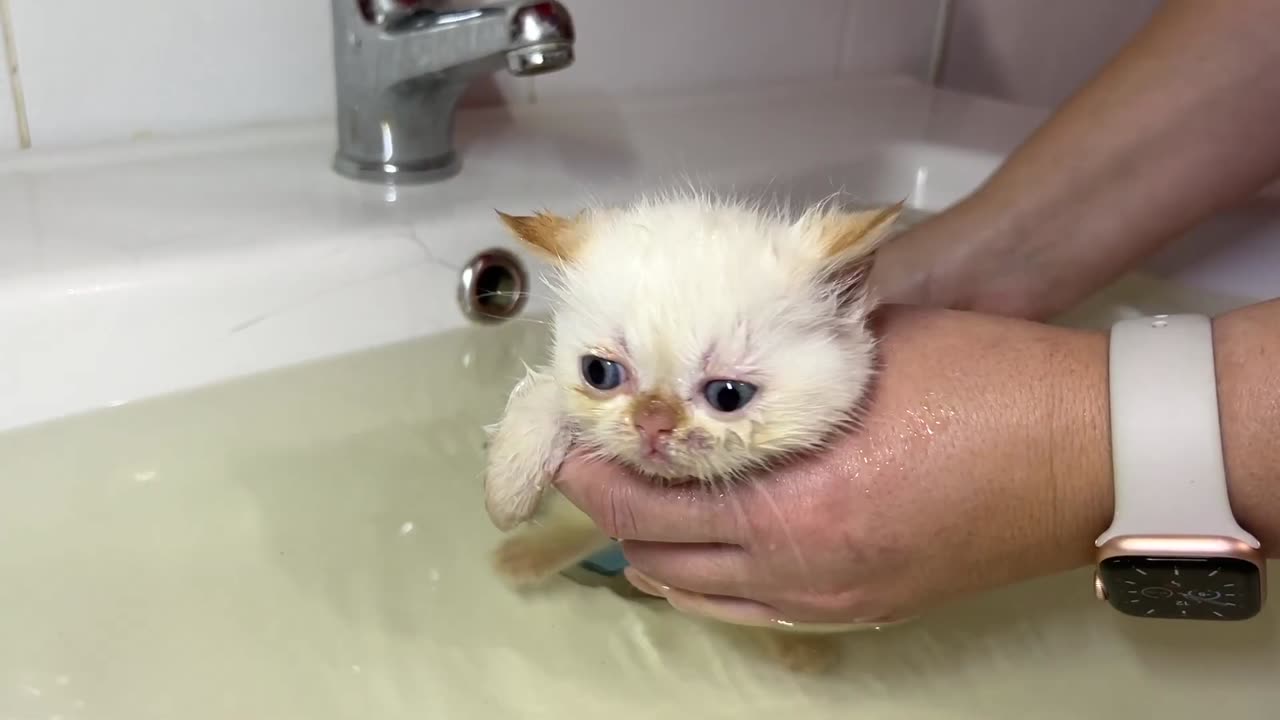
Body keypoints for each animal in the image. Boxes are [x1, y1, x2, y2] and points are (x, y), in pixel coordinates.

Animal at [483, 192, 906, 671]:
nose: (652, 419)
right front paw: (512, 499)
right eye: (599, 372)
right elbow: (548, 397)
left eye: (728, 395)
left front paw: (794, 644)